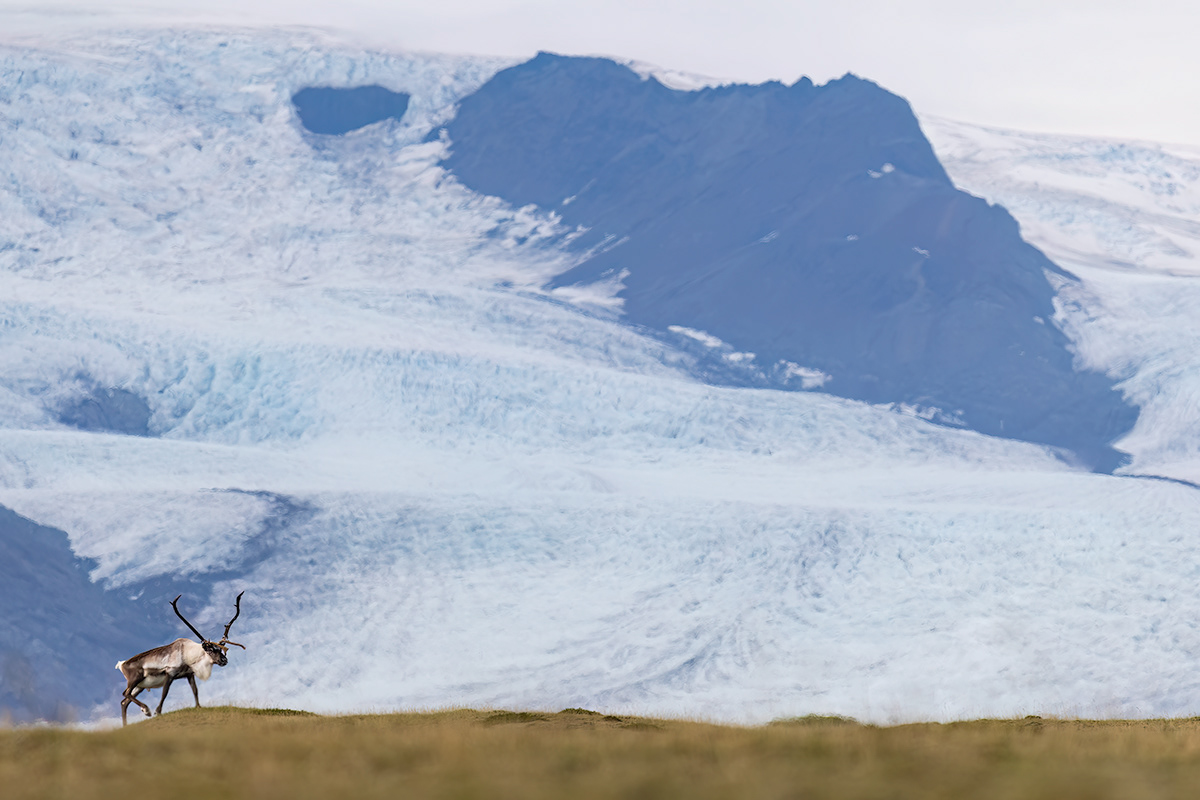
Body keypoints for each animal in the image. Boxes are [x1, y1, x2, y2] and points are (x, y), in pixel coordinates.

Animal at [115, 591, 246, 726]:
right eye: (209, 649)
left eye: (220, 649)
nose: (224, 660)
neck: (188, 654)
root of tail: (122, 664)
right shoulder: (170, 673)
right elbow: (165, 692)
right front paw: (157, 712)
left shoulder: (189, 674)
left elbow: (195, 690)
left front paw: (198, 707)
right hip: (135, 679)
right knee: (125, 693)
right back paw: (146, 710)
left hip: (140, 686)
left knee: (124, 702)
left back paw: (126, 725)